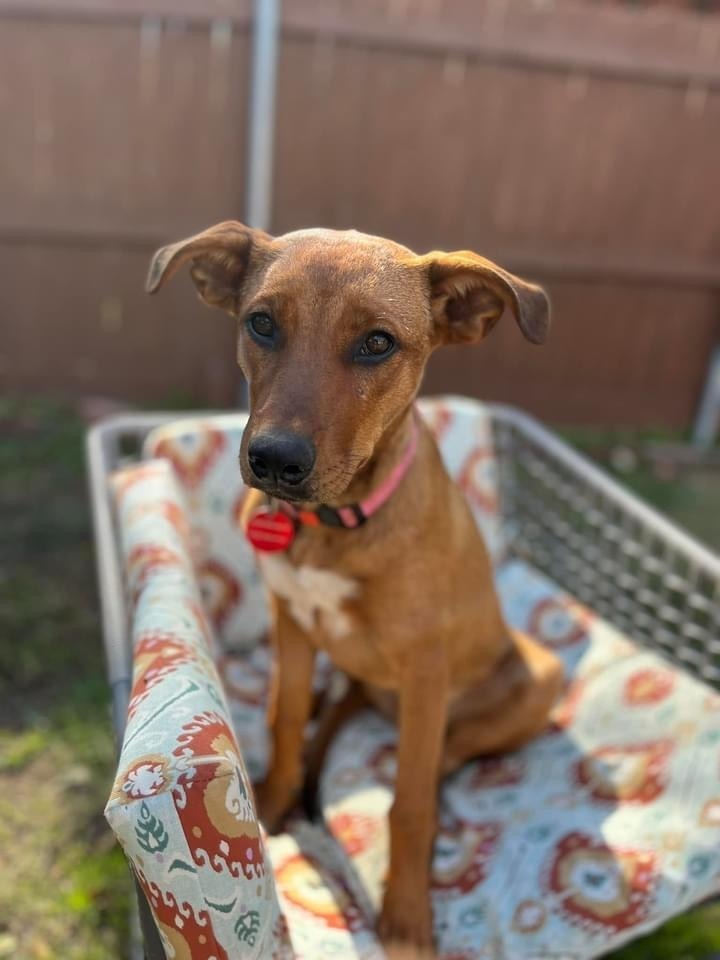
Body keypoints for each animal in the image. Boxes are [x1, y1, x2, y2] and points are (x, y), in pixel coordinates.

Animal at [146, 225, 564, 952]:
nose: (274, 460)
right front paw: (272, 802)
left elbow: (410, 801)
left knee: (444, 756)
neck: (333, 525)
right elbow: (283, 718)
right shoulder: (291, 619)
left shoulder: (425, 667)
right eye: (261, 323)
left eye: (377, 342)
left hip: (540, 675)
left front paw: (406, 914)